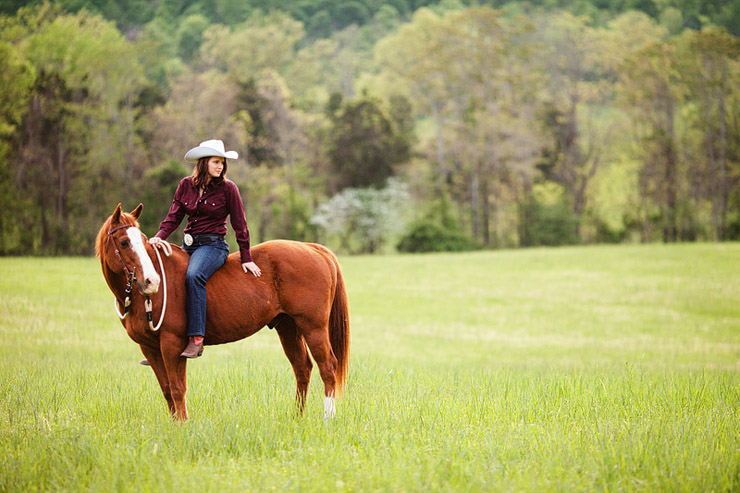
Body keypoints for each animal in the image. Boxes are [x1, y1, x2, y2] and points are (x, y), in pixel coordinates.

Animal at [96, 202, 350, 420]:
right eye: (124, 242)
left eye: (142, 240)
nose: (152, 281)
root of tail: (312, 248)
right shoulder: (150, 348)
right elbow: (167, 390)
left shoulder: (172, 345)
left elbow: (178, 389)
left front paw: (183, 427)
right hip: (288, 327)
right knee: (302, 368)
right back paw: (297, 417)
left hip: (313, 327)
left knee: (328, 367)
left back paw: (328, 419)